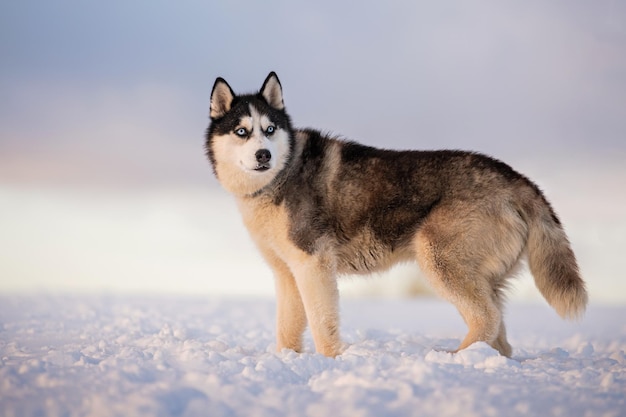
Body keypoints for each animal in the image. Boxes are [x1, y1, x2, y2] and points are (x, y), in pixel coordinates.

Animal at [205, 72, 584, 358]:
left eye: (270, 129)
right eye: (242, 131)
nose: (264, 155)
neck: (280, 177)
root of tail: (515, 177)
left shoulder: (314, 263)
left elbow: (322, 321)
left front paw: (331, 361)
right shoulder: (287, 271)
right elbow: (287, 327)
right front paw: (287, 359)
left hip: (438, 258)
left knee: (487, 318)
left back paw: (455, 358)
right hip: (479, 274)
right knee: (500, 333)